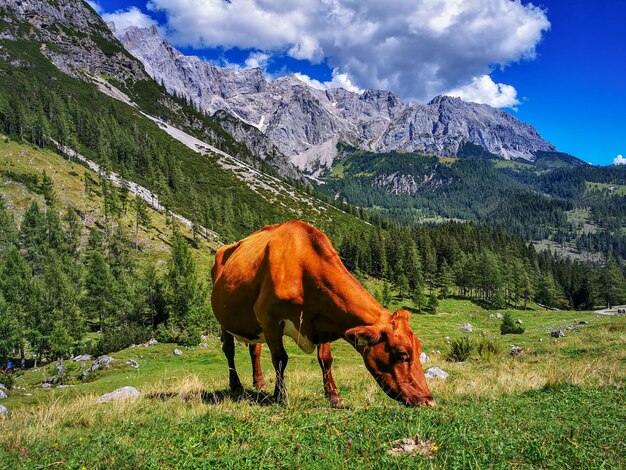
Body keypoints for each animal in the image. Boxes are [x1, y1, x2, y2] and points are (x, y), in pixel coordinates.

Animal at [211, 222, 434, 406]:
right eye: (402, 354)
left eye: (419, 349)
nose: (429, 401)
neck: (302, 265)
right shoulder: (269, 318)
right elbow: (280, 359)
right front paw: (281, 396)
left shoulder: (325, 320)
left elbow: (325, 359)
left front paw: (333, 396)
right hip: (225, 322)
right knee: (229, 350)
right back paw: (236, 385)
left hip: (254, 325)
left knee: (254, 349)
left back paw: (259, 382)